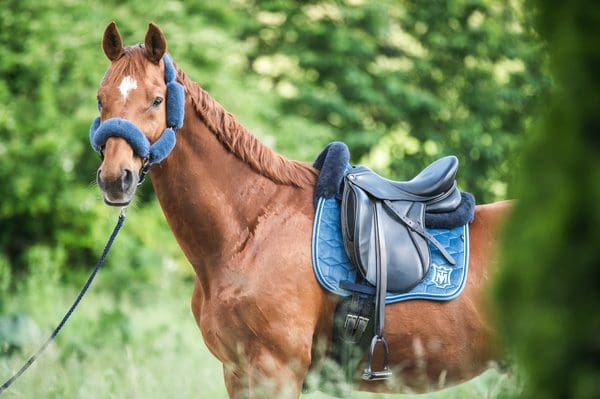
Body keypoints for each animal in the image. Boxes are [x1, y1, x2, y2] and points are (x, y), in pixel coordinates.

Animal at [92, 22, 510, 399]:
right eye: (101, 99)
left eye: (156, 100)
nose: (116, 178)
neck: (249, 231)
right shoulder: (237, 373)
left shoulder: (276, 372)